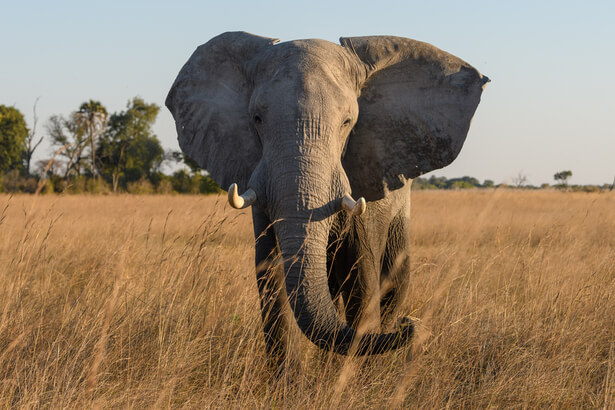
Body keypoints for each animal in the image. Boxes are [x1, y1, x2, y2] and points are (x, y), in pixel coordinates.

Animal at [165, 31, 490, 358]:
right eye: (256, 119)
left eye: (347, 122)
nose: (411, 325)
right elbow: (272, 282)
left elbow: (363, 284)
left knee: (394, 280)